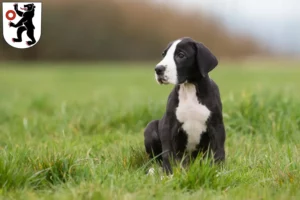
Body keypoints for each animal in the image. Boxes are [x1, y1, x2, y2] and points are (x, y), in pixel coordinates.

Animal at [144, 36, 226, 174]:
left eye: (181, 55)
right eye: (164, 54)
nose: (158, 69)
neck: (189, 88)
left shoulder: (217, 126)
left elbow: (219, 151)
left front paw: (218, 171)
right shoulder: (169, 125)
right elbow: (168, 152)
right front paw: (168, 174)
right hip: (151, 128)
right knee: (156, 158)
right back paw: (154, 170)